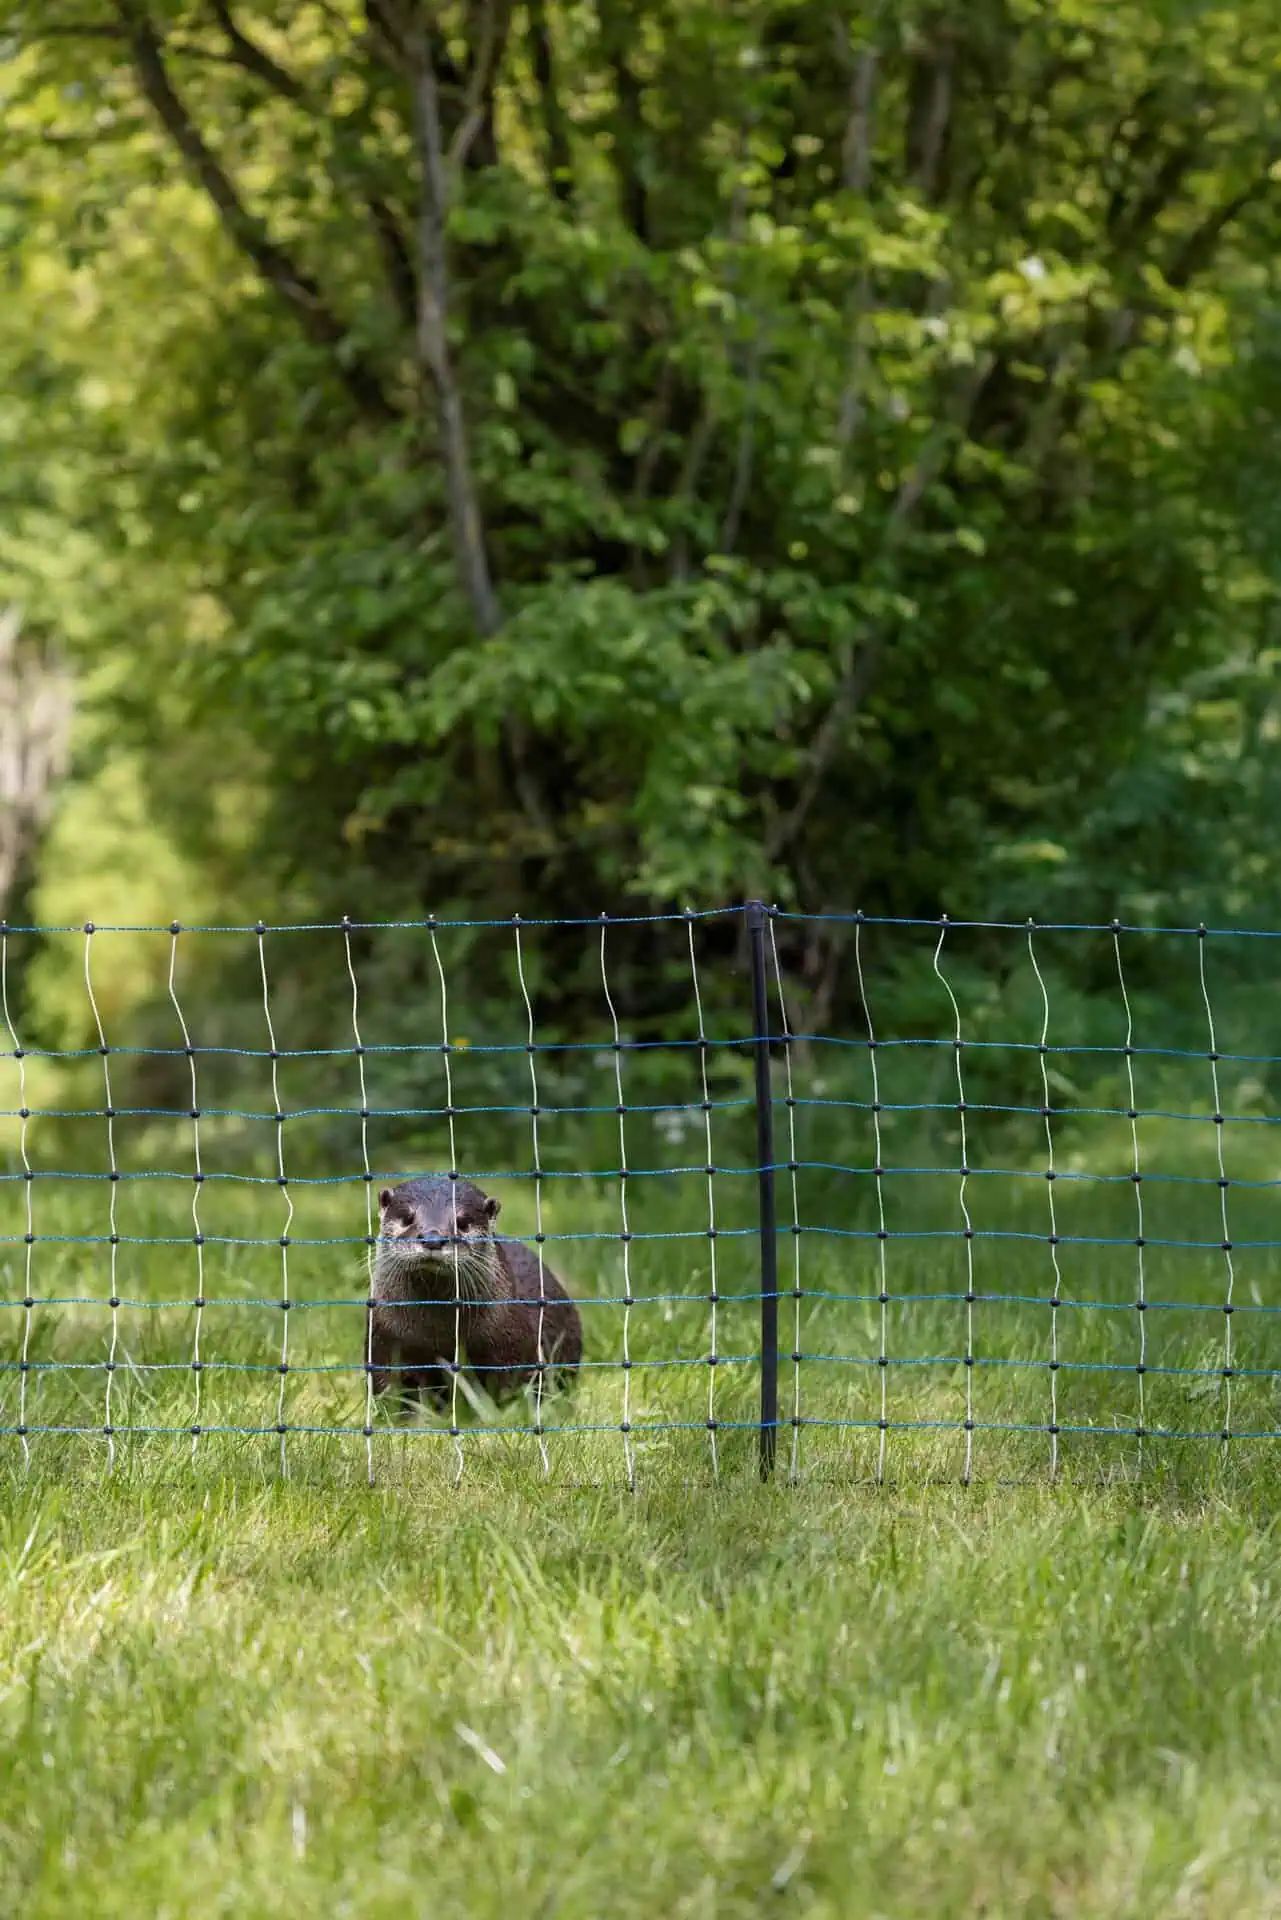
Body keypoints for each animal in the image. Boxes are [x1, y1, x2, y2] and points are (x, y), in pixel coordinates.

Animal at [368, 1174, 582, 1417]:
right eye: (407, 1218)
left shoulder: (511, 1347)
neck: (441, 1335)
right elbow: (390, 1388)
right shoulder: (385, 1341)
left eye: (462, 1223)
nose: (433, 1239)